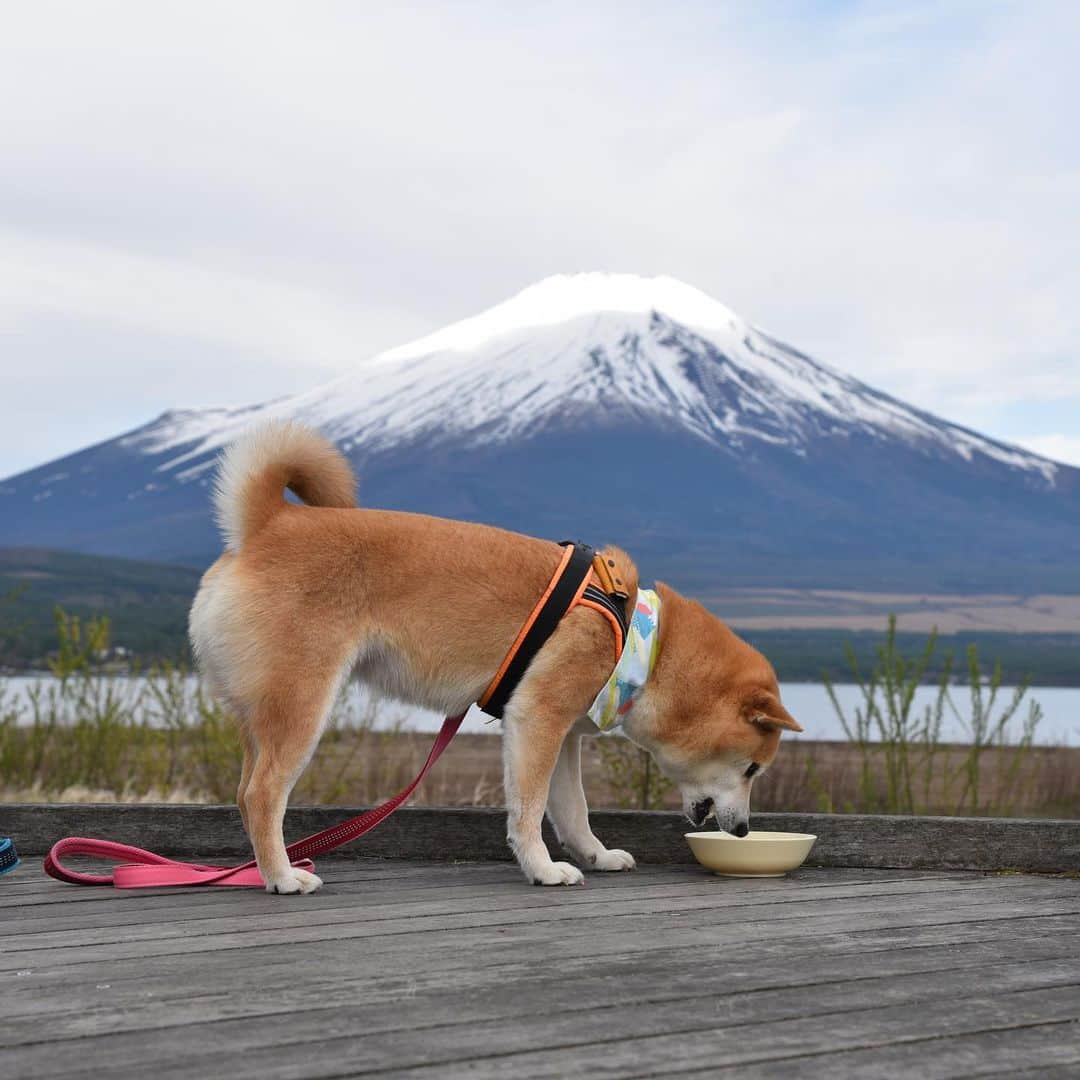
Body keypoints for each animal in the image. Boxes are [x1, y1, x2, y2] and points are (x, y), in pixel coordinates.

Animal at [192, 421, 803, 894]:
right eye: (752, 768)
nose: (743, 832)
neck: (640, 640)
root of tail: (265, 526)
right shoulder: (536, 721)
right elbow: (529, 810)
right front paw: (542, 869)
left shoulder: (563, 736)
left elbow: (573, 810)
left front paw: (595, 855)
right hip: (302, 707)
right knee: (261, 795)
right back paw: (282, 876)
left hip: (259, 715)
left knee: (245, 792)